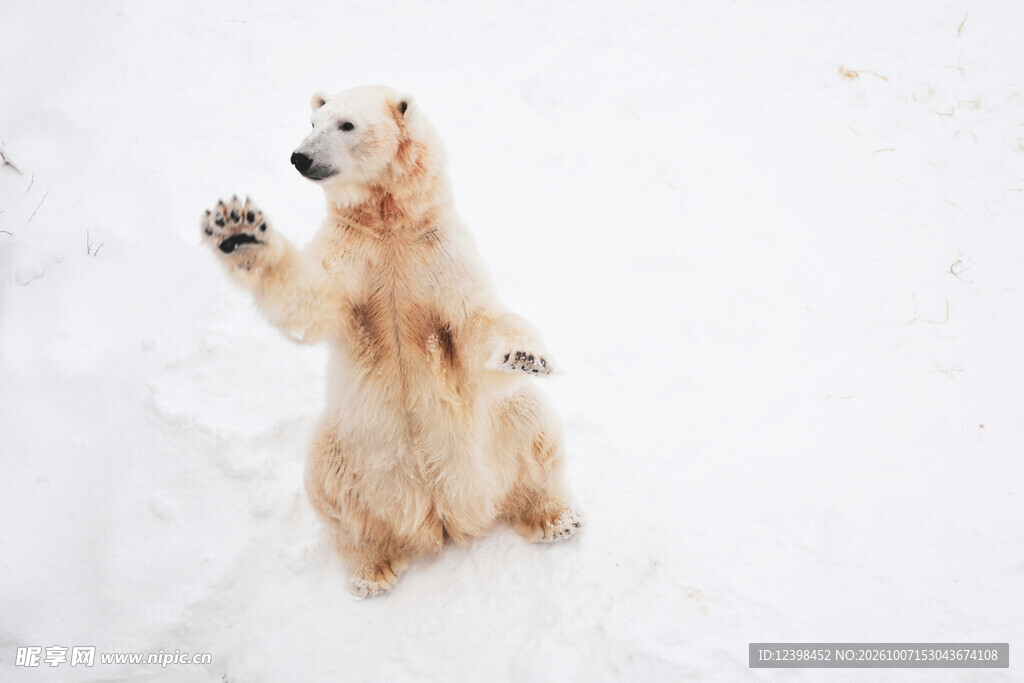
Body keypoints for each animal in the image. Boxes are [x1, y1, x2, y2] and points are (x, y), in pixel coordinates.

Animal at [201, 85, 579, 596]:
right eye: (314, 122)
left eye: (346, 125)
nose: (300, 157)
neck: (390, 224)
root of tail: (440, 515)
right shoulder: (352, 251)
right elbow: (310, 298)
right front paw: (238, 231)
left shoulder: (438, 250)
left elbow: (475, 322)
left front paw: (525, 354)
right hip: (346, 448)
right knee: (333, 497)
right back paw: (372, 569)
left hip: (493, 434)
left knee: (532, 423)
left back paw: (555, 519)